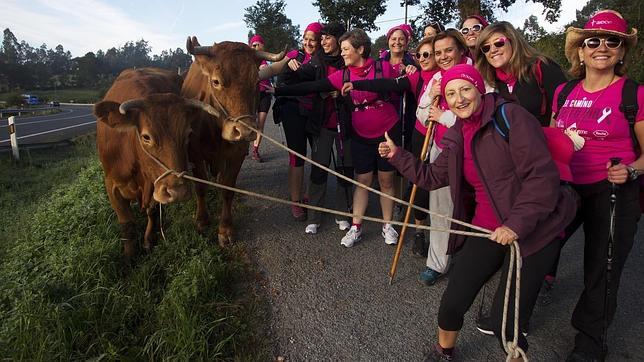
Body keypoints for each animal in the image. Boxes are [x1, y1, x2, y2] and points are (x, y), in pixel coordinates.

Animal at [95, 67, 220, 258]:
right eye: (146, 137)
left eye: (188, 134)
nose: (178, 192)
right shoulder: (111, 184)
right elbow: (127, 223)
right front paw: (129, 255)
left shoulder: (155, 182)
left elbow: (152, 211)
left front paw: (148, 240)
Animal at [180, 36, 284, 245]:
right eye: (216, 81)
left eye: (256, 82)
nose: (244, 130)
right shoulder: (194, 153)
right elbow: (200, 185)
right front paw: (202, 220)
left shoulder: (237, 153)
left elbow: (227, 189)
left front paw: (226, 229)